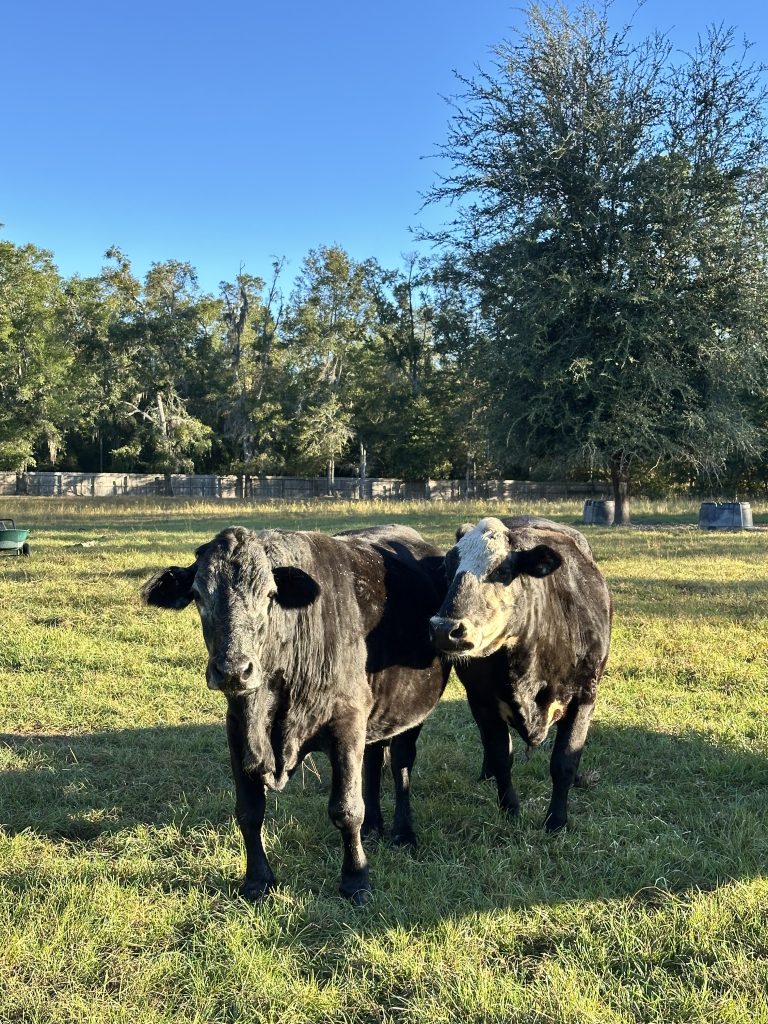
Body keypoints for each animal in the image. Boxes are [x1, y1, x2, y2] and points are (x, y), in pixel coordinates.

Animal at [141, 524, 449, 904]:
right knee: (375, 760)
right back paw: (374, 827)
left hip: (410, 715)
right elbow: (249, 810)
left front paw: (356, 879)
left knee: (401, 764)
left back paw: (403, 833)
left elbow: (347, 808)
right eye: (198, 595)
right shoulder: (236, 727)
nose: (233, 670)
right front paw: (257, 880)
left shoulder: (348, 721)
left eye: (269, 594)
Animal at [429, 515, 611, 833]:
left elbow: (565, 760)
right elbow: (502, 755)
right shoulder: (482, 701)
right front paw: (511, 810)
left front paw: (556, 821)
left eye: (502, 570)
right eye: (448, 569)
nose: (443, 629)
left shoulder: (584, 697)